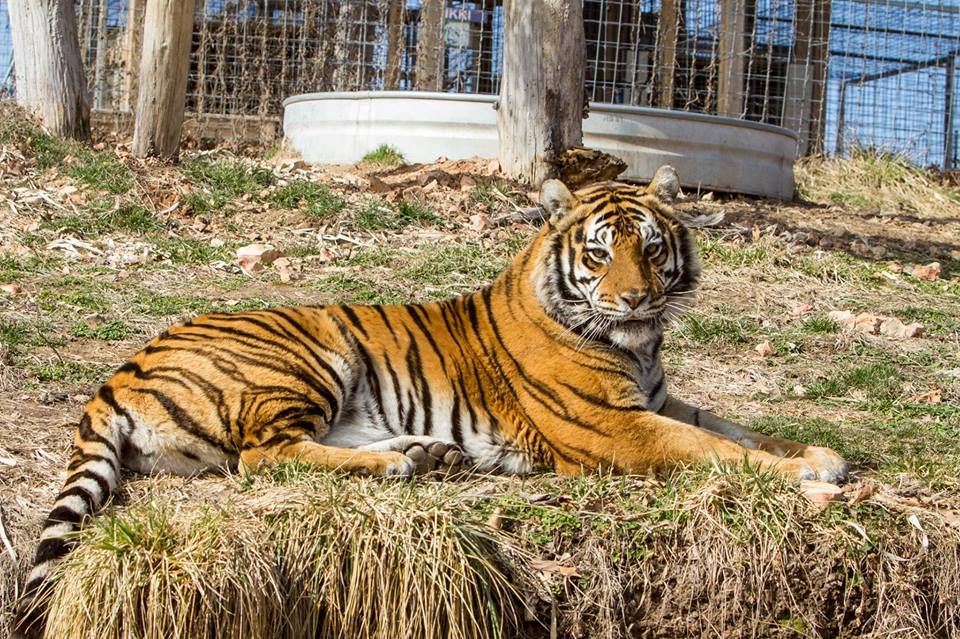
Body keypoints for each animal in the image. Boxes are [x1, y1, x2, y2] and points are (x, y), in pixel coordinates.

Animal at [13, 166, 847, 637]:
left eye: (650, 246)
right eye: (598, 253)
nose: (638, 298)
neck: (637, 347)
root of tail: (119, 370)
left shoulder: (660, 398)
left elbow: (741, 429)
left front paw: (817, 453)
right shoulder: (611, 425)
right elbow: (711, 448)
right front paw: (808, 474)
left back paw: (425, 453)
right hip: (310, 352)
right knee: (261, 455)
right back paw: (399, 465)